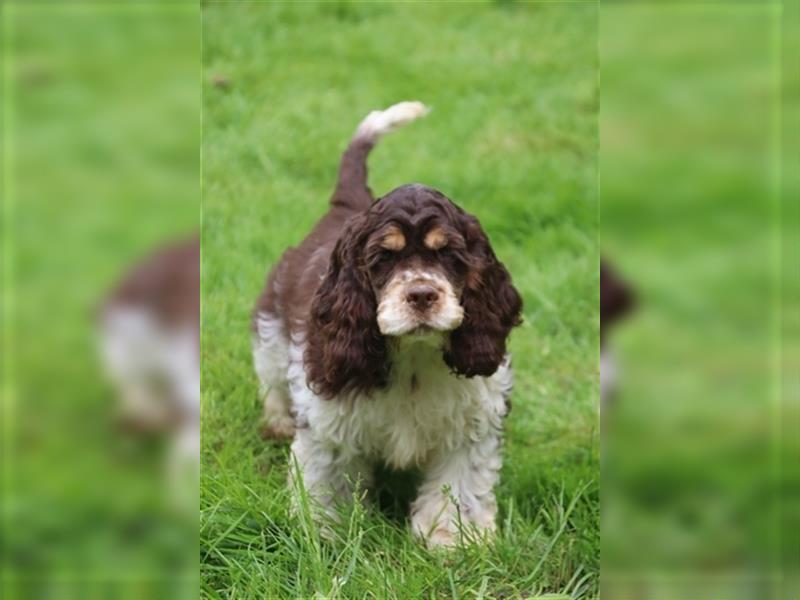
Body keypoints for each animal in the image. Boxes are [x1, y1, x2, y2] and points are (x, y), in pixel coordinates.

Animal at [253, 101, 520, 548]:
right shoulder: (330, 420)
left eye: (449, 255)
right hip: (272, 326)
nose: (422, 295)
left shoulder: (473, 420)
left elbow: (459, 485)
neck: (412, 355)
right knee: (271, 378)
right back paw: (276, 422)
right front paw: (325, 533)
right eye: (382, 259)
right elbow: (327, 481)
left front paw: (452, 540)